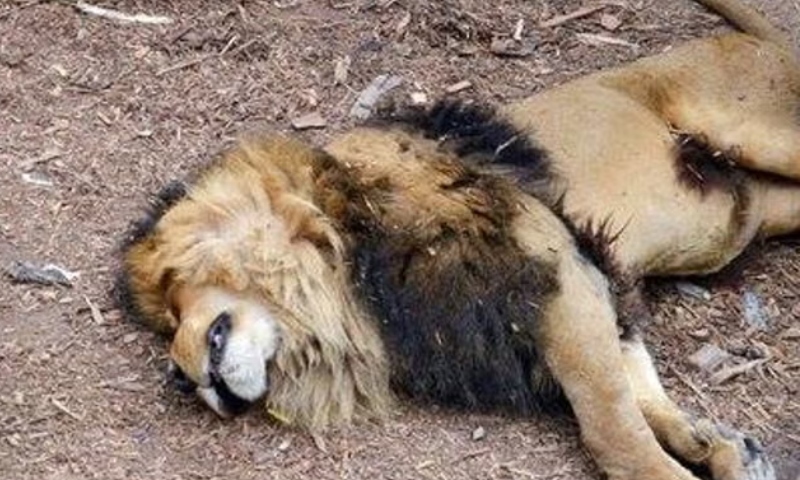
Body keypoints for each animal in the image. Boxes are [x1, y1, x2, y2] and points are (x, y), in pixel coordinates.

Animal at [117, 1, 799, 479]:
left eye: (176, 300)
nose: (179, 378)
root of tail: (765, 42)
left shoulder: (554, 276)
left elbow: (614, 428)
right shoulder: (586, 287)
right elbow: (642, 395)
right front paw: (722, 447)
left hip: (758, 136)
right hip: (759, 212)